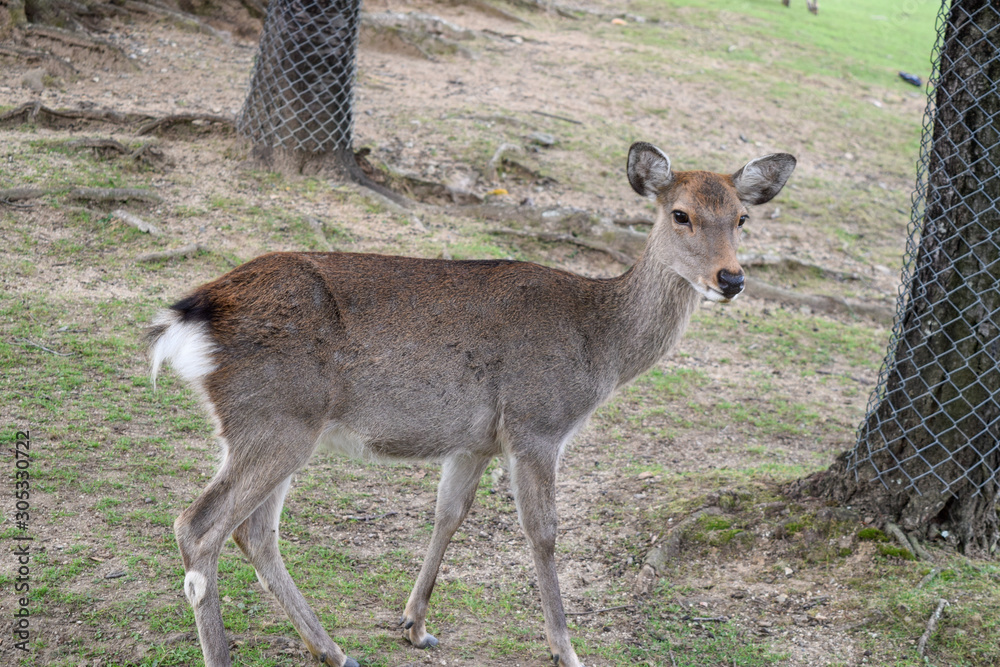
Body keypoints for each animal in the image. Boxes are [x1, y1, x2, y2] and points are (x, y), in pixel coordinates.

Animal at [147, 141, 795, 667]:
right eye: (680, 214)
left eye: (741, 217)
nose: (731, 279)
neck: (599, 348)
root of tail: (191, 314)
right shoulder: (536, 425)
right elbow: (543, 532)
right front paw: (566, 649)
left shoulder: (474, 441)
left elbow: (449, 514)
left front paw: (414, 626)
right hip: (276, 420)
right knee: (199, 525)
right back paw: (234, 651)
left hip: (266, 427)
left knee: (254, 532)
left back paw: (333, 649)